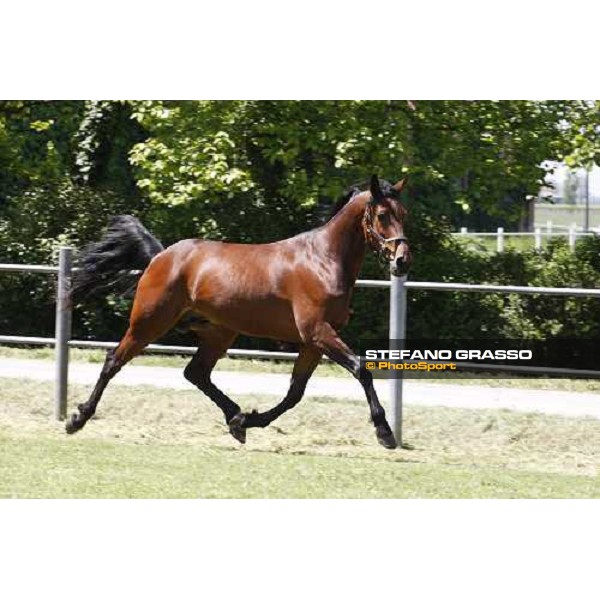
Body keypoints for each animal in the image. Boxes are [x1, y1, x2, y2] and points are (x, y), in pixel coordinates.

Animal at [68, 176, 410, 448]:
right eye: (382, 215)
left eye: (403, 214)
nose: (403, 260)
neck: (322, 260)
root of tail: (161, 256)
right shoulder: (318, 332)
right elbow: (361, 370)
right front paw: (385, 432)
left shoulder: (313, 342)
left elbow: (294, 393)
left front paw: (248, 420)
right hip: (149, 323)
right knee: (113, 361)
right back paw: (78, 418)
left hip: (219, 332)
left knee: (196, 373)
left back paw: (235, 418)